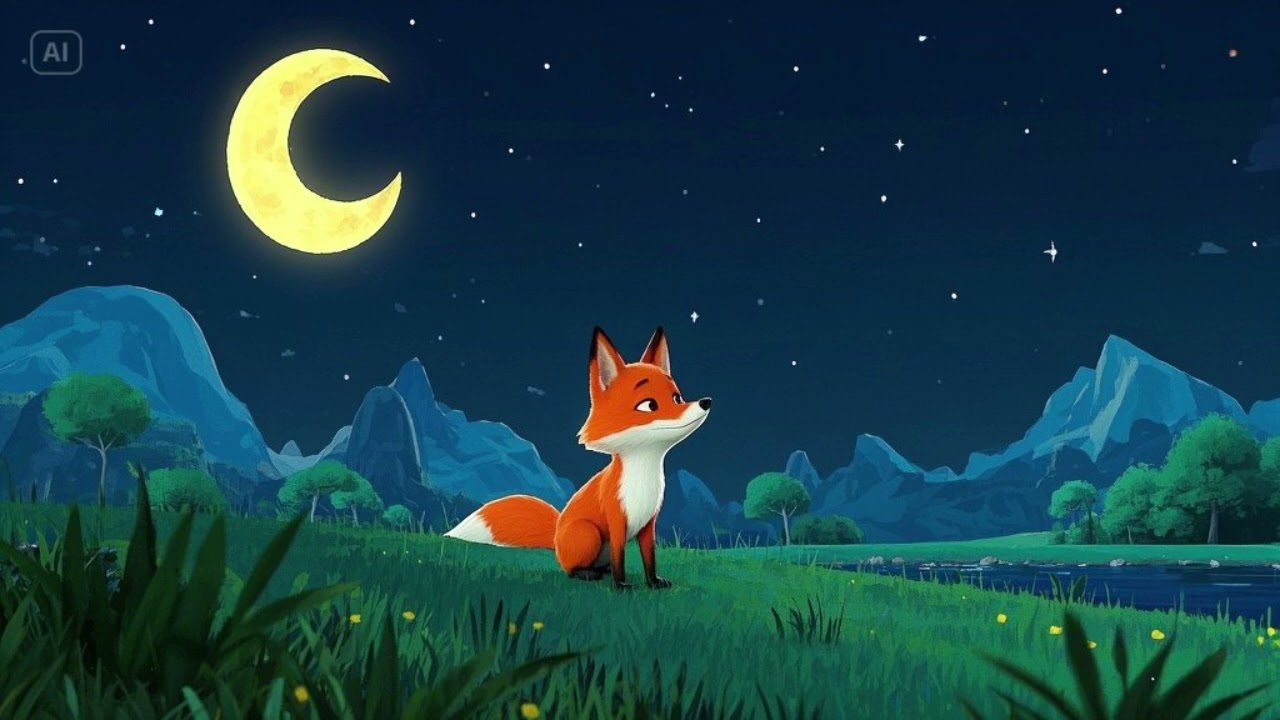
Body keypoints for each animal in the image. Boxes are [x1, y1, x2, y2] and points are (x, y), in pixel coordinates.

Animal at [443, 326, 711, 590]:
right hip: (588, 532)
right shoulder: (615, 521)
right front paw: (621, 586)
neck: (642, 475)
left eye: (677, 397)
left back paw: (600, 571)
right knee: (571, 569)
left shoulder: (648, 524)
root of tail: (556, 536)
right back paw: (587, 574)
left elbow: (649, 559)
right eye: (648, 405)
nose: (706, 402)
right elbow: (620, 558)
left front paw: (654, 583)